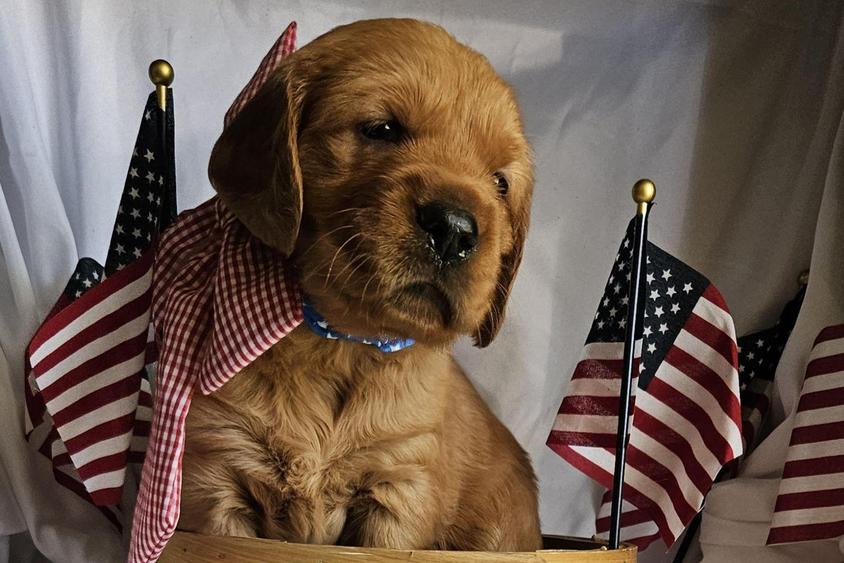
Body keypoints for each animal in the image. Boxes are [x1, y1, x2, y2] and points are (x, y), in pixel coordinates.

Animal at [178, 17, 540, 552]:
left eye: (500, 183)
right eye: (382, 129)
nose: (454, 229)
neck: (342, 342)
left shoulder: (400, 485)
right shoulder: (219, 478)